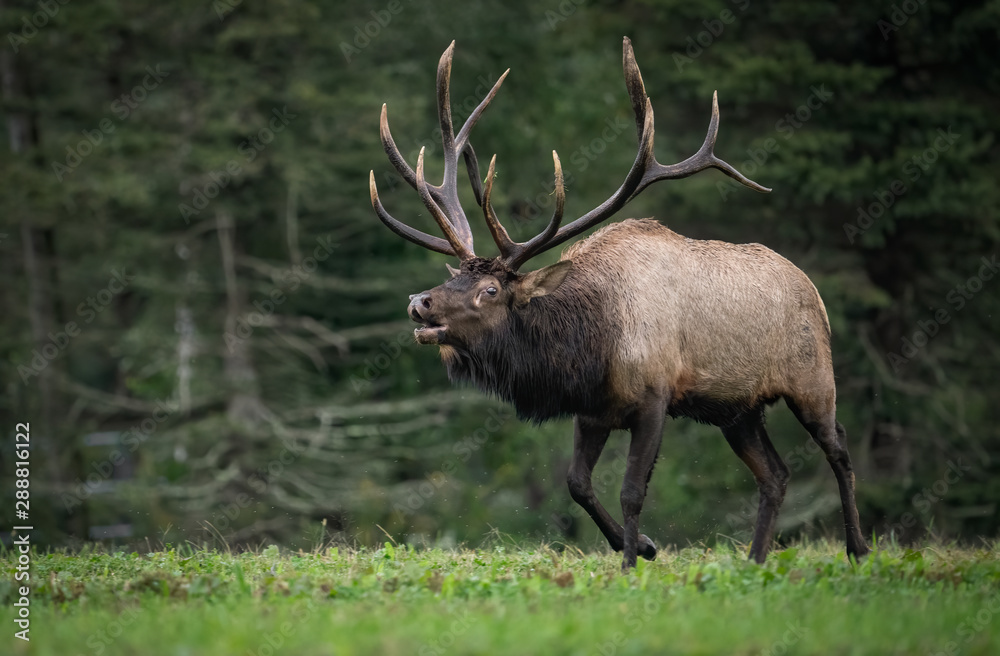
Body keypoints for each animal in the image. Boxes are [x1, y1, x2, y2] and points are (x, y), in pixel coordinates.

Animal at [368, 37, 869, 570]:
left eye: (490, 290)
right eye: (457, 277)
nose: (419, 301)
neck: (590, 346)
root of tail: (814, 292)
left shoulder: (654, 396)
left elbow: (631, 491)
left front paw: (631, 563)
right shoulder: (592, 408)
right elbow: (577, 484)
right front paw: (643, 546)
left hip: (811, 378)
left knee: (839, 449)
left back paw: (857, 548)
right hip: (737, 409)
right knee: (775, 474)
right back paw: (755, 559)